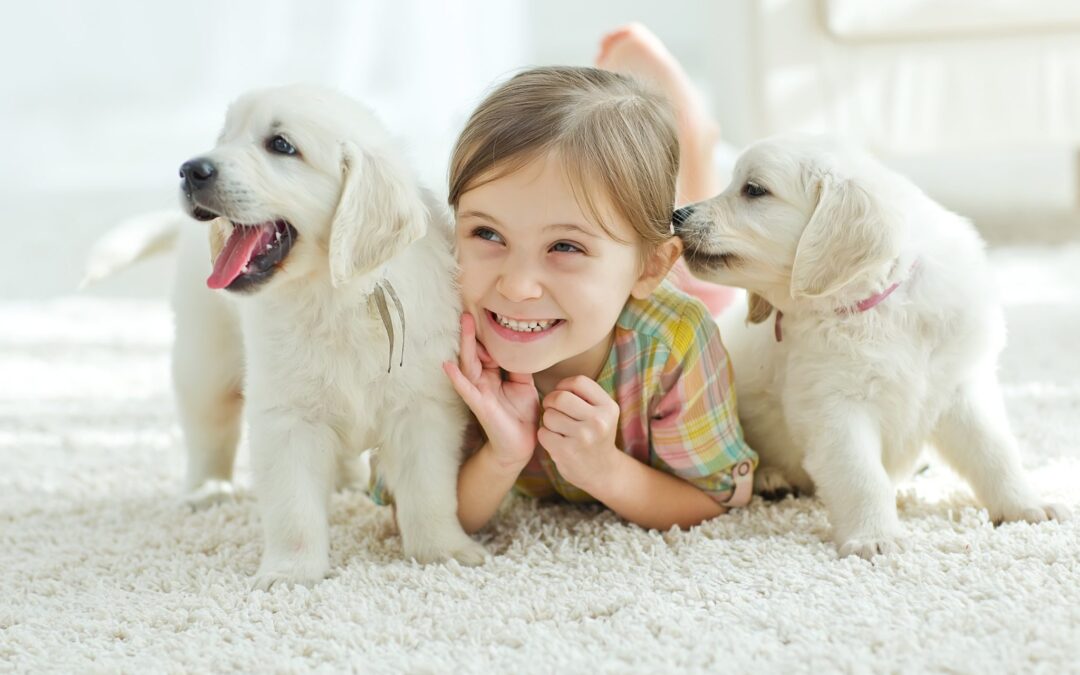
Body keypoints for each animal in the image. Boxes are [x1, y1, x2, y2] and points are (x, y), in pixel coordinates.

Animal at [91, 86, 486, 587]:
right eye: (224, 137)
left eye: (281, 145)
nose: (189, 169)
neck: (333, 296)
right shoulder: (286, 416)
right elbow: (294, 507)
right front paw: (291, 573)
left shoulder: (424, 405)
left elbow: (430, 490)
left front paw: (444, 551)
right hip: (204, 356)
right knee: (207, 429)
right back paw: (207, 490)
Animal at [678, 134, 1067, 557]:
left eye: (753, 190)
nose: (677, 215)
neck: (878, 307)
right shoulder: (834, 405)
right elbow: (861, 476)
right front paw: (874, 536)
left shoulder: (959, 387)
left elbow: (995, 452)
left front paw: (1025, 506)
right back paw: (772, 479)